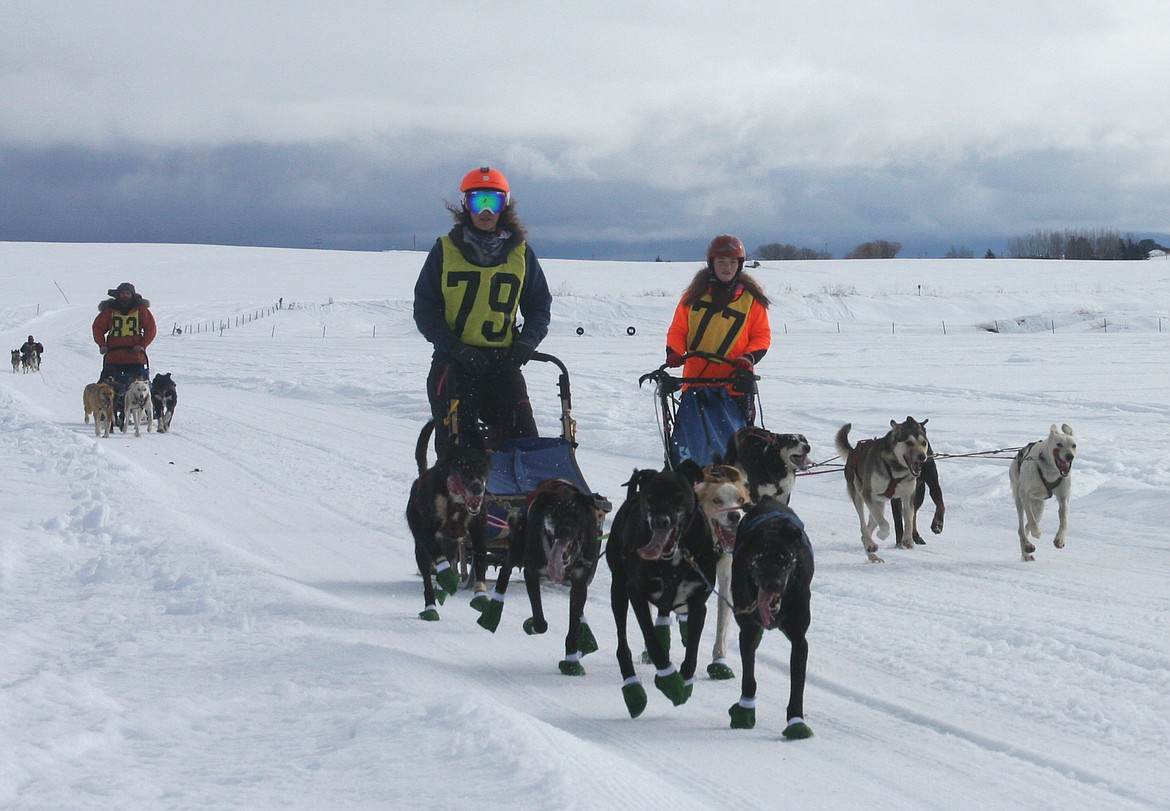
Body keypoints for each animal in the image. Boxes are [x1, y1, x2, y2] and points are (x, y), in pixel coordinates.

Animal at [407, 416, 489, 617]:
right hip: (421, 550)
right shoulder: (426, 532)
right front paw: (447, 577)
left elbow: (480, 559)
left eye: (482, 468)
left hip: (453, 546)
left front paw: (480, 594)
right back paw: (430, 607)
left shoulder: (478, 530)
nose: (478, 488)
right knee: (428, 579)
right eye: (463, 467)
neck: (457, 503)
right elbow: (438, 555)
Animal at [475, 477, 603, 674]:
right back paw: (493, 609)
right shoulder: (532, 573)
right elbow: (539, 621)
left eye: (575, 512)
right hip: (518, 545)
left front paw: (572, 659)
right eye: (554, 512)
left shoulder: (580, 584)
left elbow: (574, 624)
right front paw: (531, 624)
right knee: (505, 570)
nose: (563, 530)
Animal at [608, 458, 716, 716]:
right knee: (622, 643)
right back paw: (632, 687)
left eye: (678, 496)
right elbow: (652, 642)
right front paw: (669, 679)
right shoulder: (636, 592)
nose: (661, 521)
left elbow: (692, 651)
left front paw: (684, 683)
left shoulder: (698, 602)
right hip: (618, 590)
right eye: (650, 497)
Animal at [730, 493, 814, 739]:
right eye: (759, 557)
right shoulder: (747, 631)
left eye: (785, 556)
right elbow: (749, 677)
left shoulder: (799, 640)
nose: (773, 584)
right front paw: (745, 710)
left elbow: (797, 686)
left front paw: (796, 722)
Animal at [1006, 421, 1076, 559]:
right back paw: (1027, 545)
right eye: (1059, 444)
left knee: (1027, 526)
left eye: (1073, 445)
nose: (1070, 456)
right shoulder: (1024, 494)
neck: (1051, 470)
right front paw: (1037, 532)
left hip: (1039, 507)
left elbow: (1064, 521)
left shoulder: (1064, 499)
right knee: (1022, 527)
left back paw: (1026, 553)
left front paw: (1060, 539)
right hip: (1019, 500)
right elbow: (1031, 519)